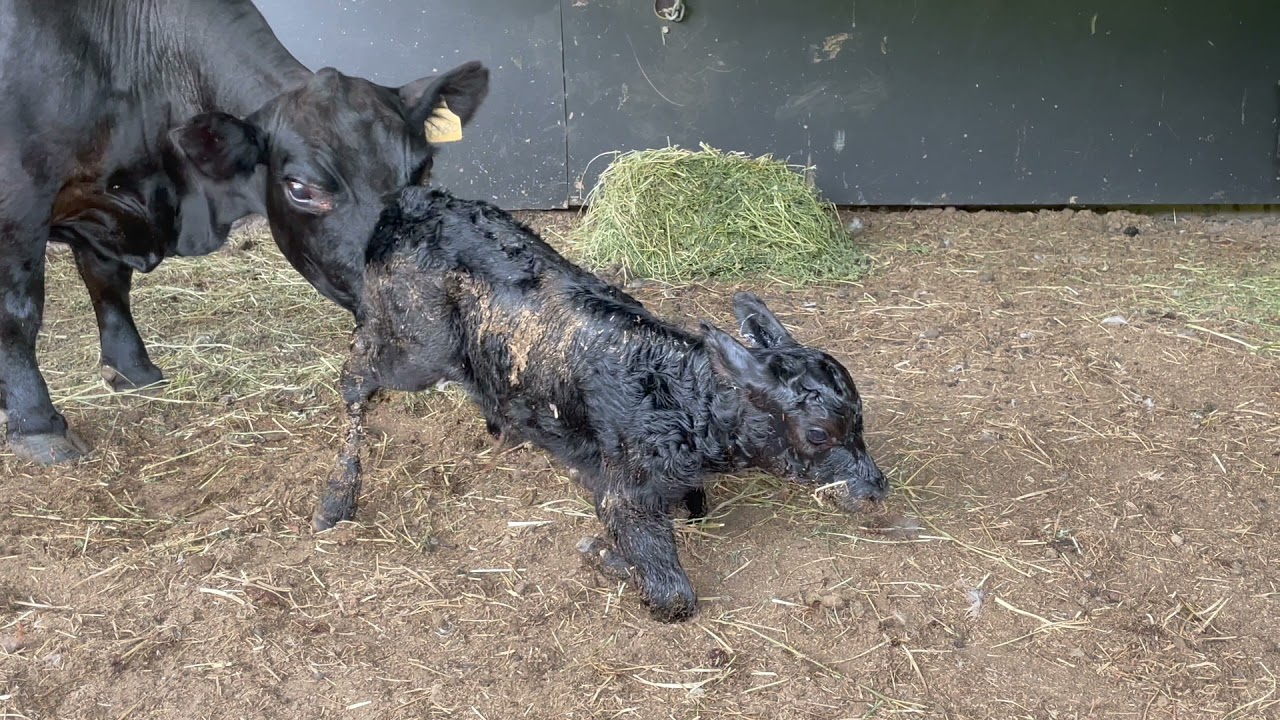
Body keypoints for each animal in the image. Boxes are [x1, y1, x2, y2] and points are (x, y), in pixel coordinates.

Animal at [0, 0, 490, 465]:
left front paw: (132, 370)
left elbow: (107, 281)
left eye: (423, 168)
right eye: (300, 188)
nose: (415, 305)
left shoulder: (105, 211)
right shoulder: (20, 199)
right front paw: (37, 424)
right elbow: (18, 311)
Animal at [315, 186, 888, 622]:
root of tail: (413, 200)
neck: (681, 402)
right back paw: (337, 497)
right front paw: (604, 556)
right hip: (418, 346)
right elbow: (673, 595)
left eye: (860, 422)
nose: (876, 489)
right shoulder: (625, 492)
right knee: (355, 373)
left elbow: (695, 508)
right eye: (818, 433)